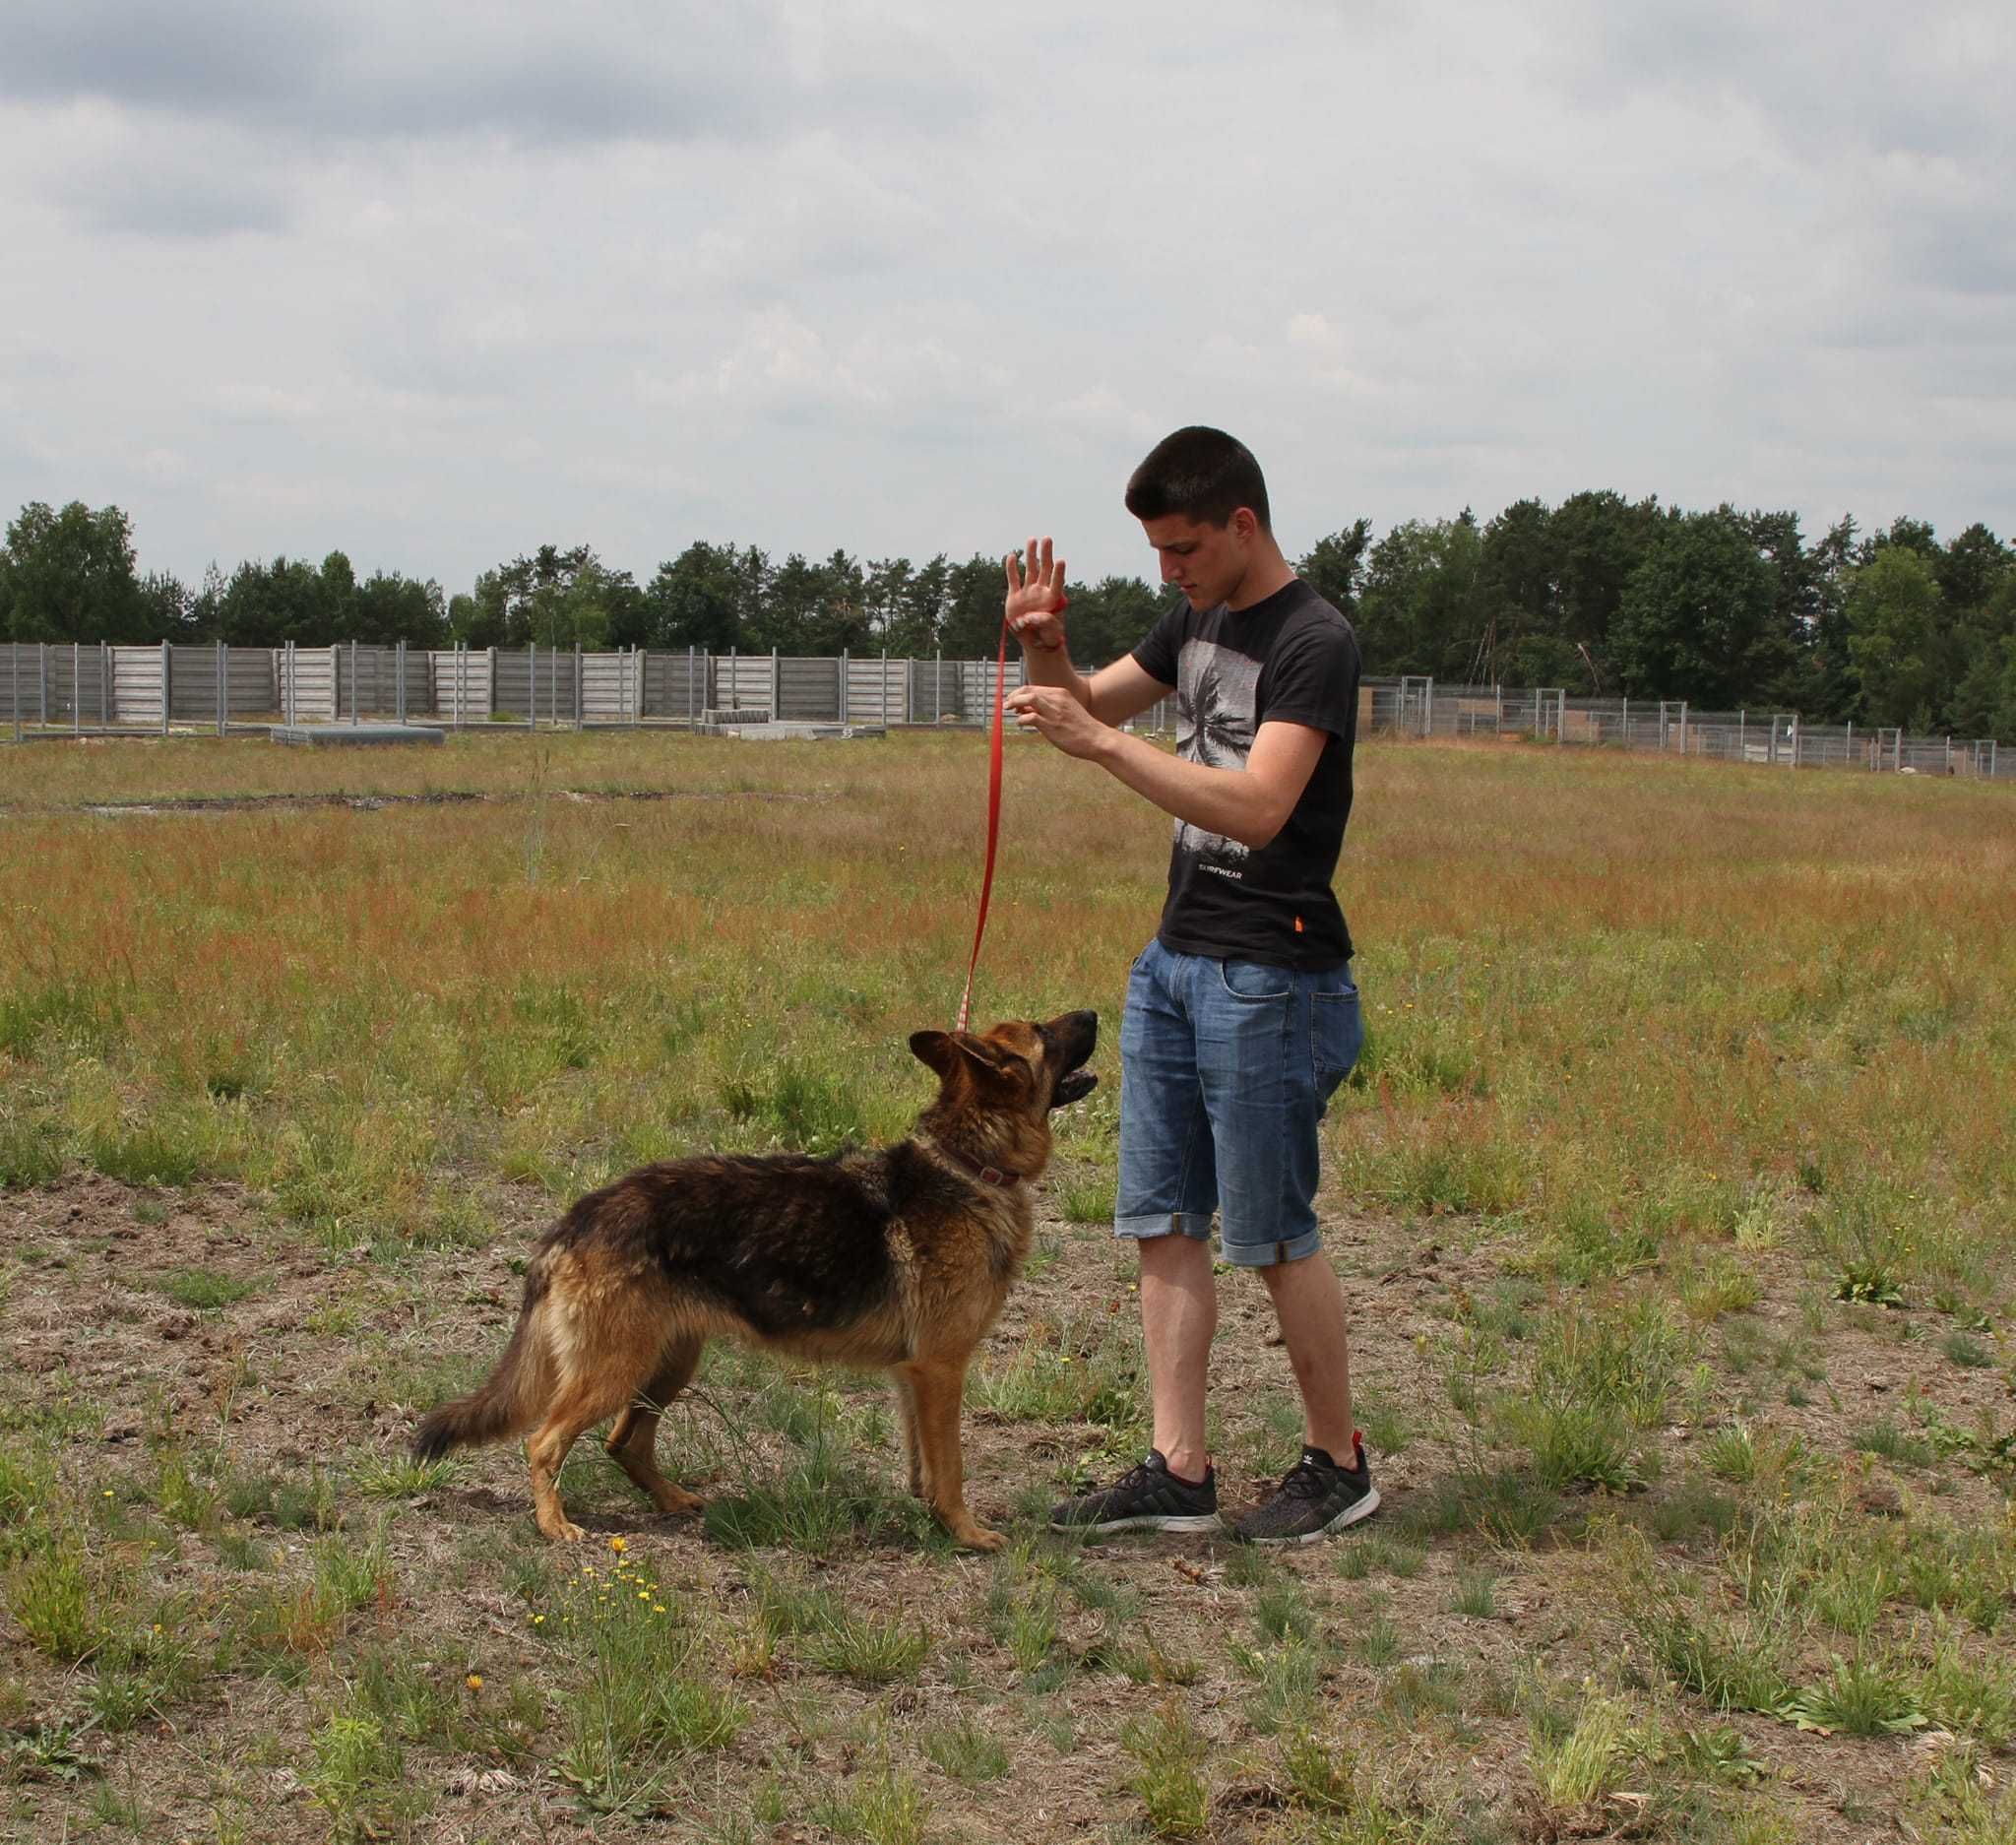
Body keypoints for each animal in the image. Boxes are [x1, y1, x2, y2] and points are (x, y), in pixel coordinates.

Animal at [412, 1008, 1104, 1557]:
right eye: (1045, 1031)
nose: (1096, 1011)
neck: (968, 1163)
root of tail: (578, 1216)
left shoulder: (915, 1376)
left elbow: (925, 1464)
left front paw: (930, 1515)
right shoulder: (941, 1369)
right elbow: (954, 1466)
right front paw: (966, 1532)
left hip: (667, 1365)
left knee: (624, 1443)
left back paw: (672, 1501)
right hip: (616, 1370)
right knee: (544, 1442)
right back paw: (554, 1526)